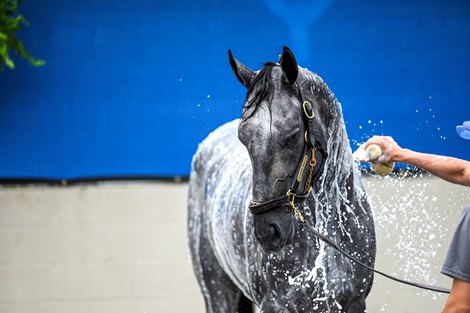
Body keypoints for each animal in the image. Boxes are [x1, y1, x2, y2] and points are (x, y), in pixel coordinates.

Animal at [189, 46, 376, 312]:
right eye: (243, 136)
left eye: (293, 134)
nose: (269, 231)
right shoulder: (274, 304)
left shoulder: (353, 303)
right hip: (216, 290)